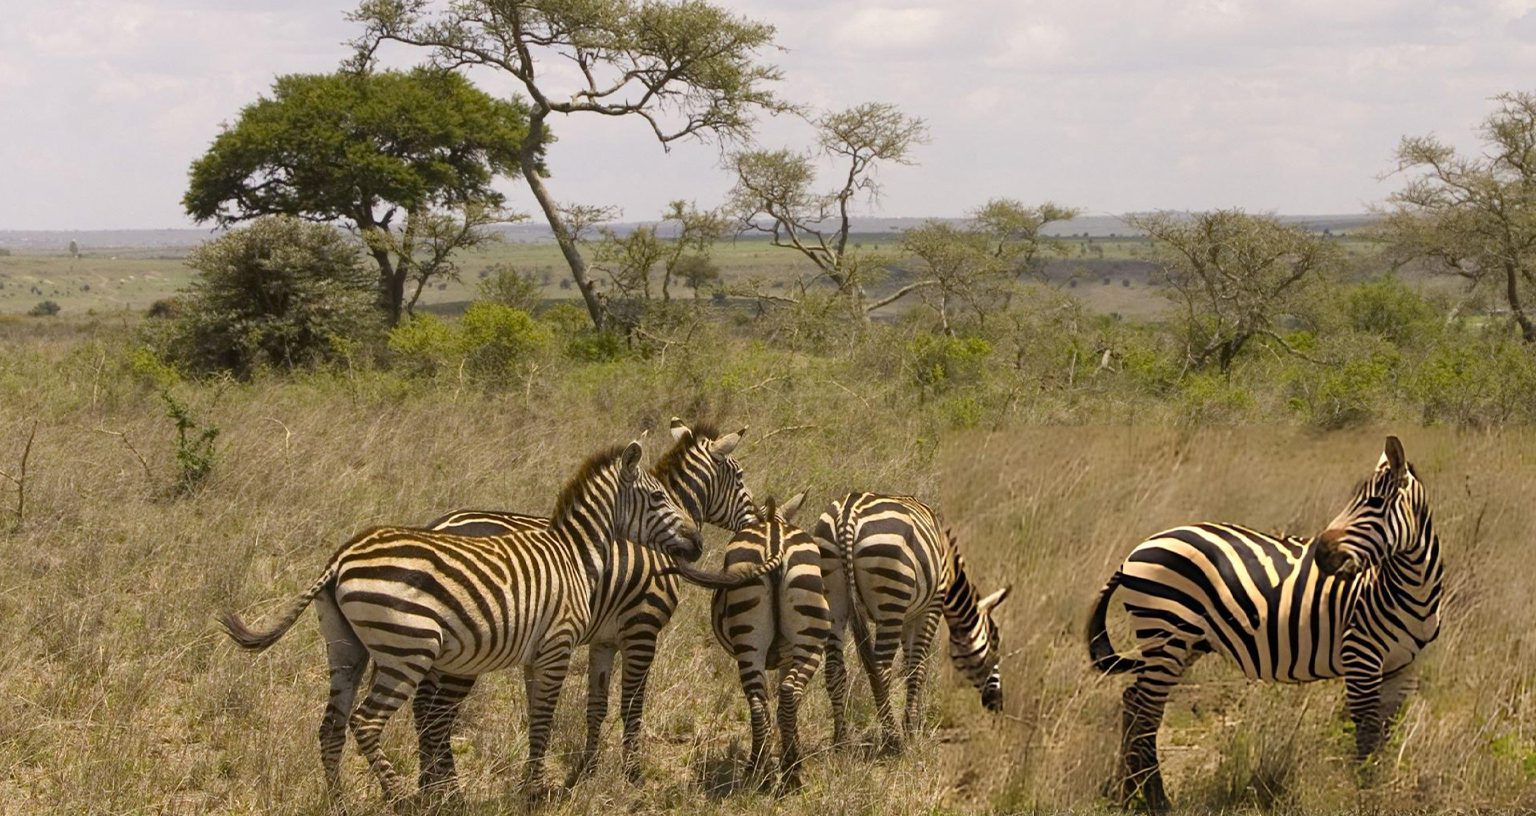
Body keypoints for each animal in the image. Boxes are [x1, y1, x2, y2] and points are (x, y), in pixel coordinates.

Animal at [217, 440, 702, 807]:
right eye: (658, 498)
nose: (697, 544)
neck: (575, 556)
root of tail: (339, 559)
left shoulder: (540, 653)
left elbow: (537, 715)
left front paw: (535, 784)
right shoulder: (562, 644)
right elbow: (548, 716)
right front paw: (535, 790)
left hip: (346, 649)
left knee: (331, 725)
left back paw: (340, 801)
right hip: (407, 650)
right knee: (367, 722)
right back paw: (400, 799)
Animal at [415, 419, 755, 789]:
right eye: (739, 476)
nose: (756, 520)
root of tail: (436, 525)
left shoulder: (603, 640)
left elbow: (596, 705)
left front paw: (587, 770)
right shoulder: (642, 631)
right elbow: (631, 707)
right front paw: (633, 774)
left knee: (423, 707)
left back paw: (429, 784)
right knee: (438, 713)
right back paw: (445, 787)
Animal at [815, 493, 1013, 753]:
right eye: (995, 644)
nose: (997, 704)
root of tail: (847, 514)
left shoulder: (909, 615)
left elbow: (910, 664)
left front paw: (913, 723)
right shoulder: (931, 606)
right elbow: (918, 667)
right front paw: (911, 729)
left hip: (834, 597)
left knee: (834, 669)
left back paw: (841, 740)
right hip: (891, 599)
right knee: (880, 670)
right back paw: (892, 739)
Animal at [1085, 436, 1442, 814]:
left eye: (1374, 503)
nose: (1321, 555)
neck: (1410, 589)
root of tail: (1139, 548)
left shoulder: (1405, 667)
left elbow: (1385, 734)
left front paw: (1379, 789)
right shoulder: (1360, 655)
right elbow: (1366, 733)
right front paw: (1364, 795)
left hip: (1180, 644)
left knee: (1134, 702)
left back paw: (1131, 795)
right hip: (1166, 635)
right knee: (1146, 712)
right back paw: (1155, 798)